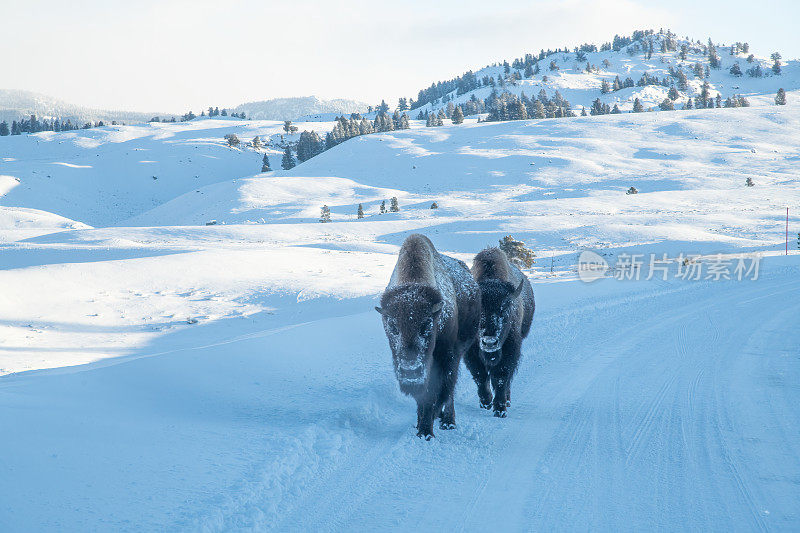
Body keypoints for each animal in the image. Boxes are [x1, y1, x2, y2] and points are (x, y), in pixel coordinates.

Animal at [376, 235, 482, 438]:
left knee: (449, 392)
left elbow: (436, 393)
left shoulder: (444, 358)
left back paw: (448, 421)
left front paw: (426, 430)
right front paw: (420, 427)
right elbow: (423, 396)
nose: (410, 371)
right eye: (392, 326)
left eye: (426, 325)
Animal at [466, 247, 536, 418]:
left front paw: (500, 409)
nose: (489, 342)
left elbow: (501, 377)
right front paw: (486, 402)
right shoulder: (471, 352)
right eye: (478, 310)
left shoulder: (511, 350)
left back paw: (507, 400)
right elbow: (480, 375)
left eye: (504, 309)